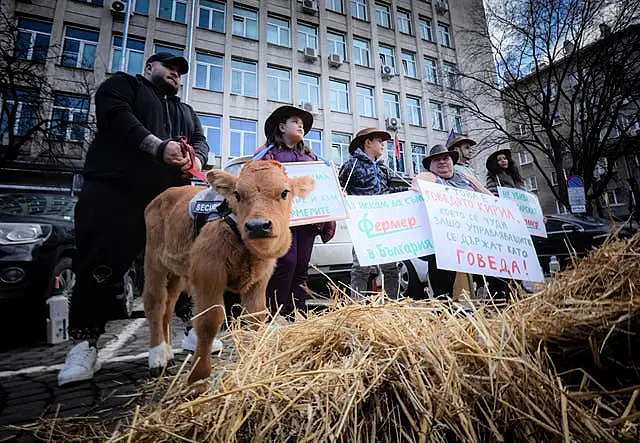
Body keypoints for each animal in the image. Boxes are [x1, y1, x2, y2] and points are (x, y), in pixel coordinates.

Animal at [142, 161, 312, 384]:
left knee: (168, 307)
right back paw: (158, 358)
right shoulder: (208, 273)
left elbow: (256, 316)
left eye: (285, 192)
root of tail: (164, 195)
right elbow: (209, 321)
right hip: (154, 261)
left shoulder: (260, 279)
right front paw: (198, 375)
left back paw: (168, 353)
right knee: (155, 302)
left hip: (176, 272)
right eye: (237, 194)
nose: (258, 226)